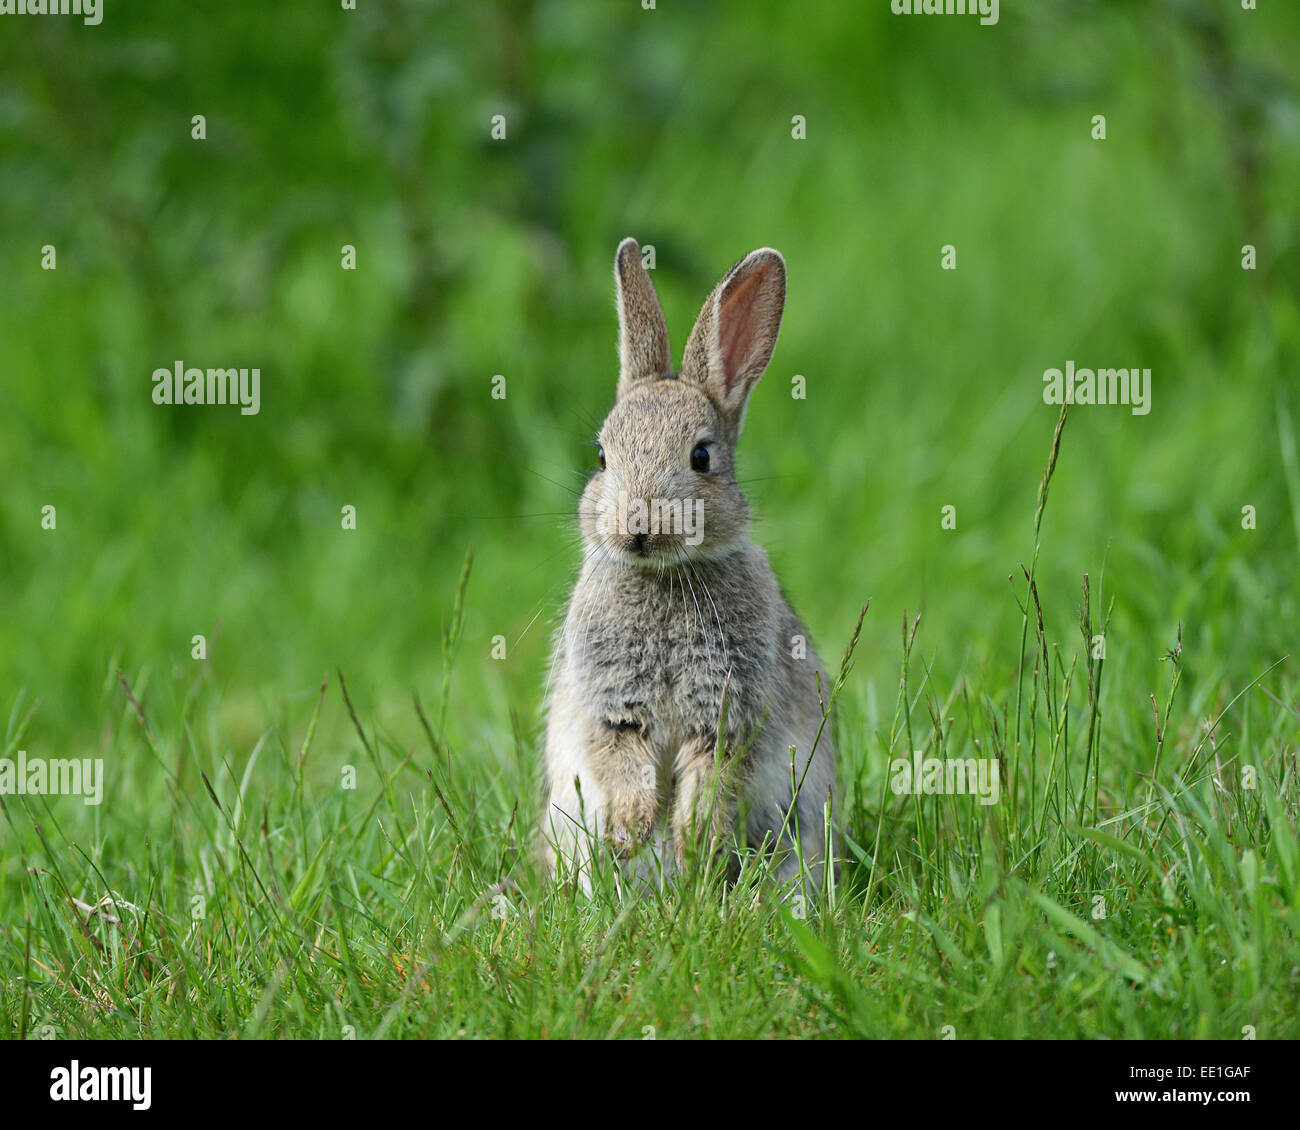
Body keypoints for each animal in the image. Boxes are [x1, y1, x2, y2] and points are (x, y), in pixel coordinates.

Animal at [535, 235, 832, 889]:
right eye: (601, 456)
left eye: (701, 457)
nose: (637, 529)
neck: (666, 579)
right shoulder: (613, 707)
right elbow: (623, 760)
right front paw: (632, 832)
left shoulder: (726, 711)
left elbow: (711, 774)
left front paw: (693, 842)